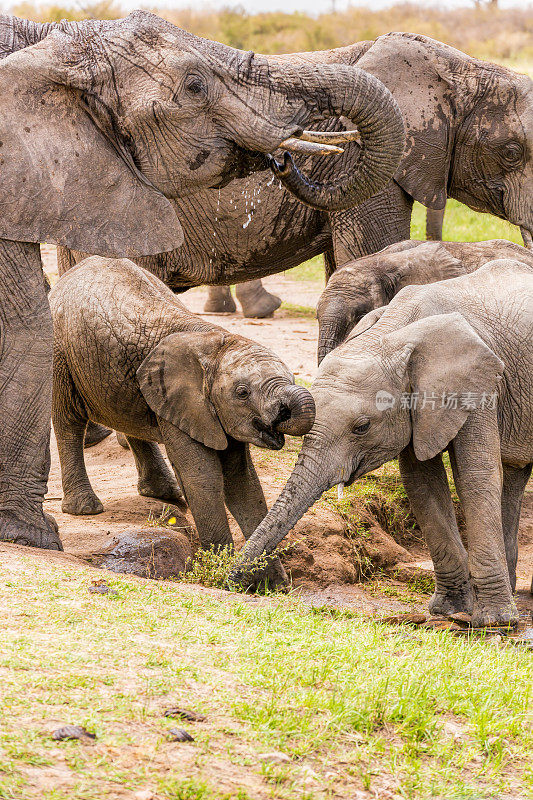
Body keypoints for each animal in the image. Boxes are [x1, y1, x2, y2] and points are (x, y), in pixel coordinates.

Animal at [50, 256, 314, 564]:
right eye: (242, 393)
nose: (283, 412)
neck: (216, 343)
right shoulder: (186, 402)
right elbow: (203, 477)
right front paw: (219, 565)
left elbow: (243, 482)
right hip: (60, 353)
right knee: (69, 421)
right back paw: (85, 508)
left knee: (129, 421)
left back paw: (167, 495)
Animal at [236, 260, 532, 628]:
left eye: (362, 427)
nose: (228, 579)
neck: (393, 334)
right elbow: (422, 483)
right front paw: (449, 611)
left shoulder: (479, 384)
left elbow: (477, 477)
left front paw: (494, 623)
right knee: (515, 475)